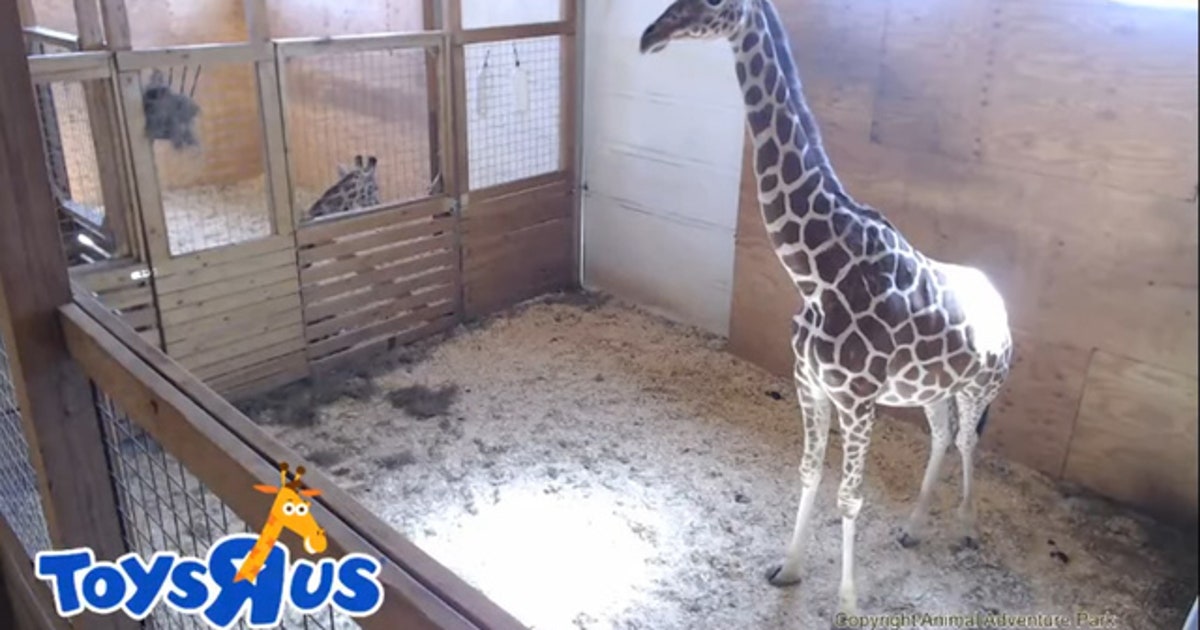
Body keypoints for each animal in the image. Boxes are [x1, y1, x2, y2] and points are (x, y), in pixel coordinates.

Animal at [639, 0, 1014, 617]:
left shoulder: (858, 401)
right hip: (933, 390)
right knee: (941, 436)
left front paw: (848, 603)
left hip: (980, 386)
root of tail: (1003, 308)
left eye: (714, 4)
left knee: (967, 441)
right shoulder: (809, 384)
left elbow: (850, 497)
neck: (818, 272)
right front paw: (789, 569)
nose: (650, 36)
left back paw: (966, 528)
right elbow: (810, 473)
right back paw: (913, 528)